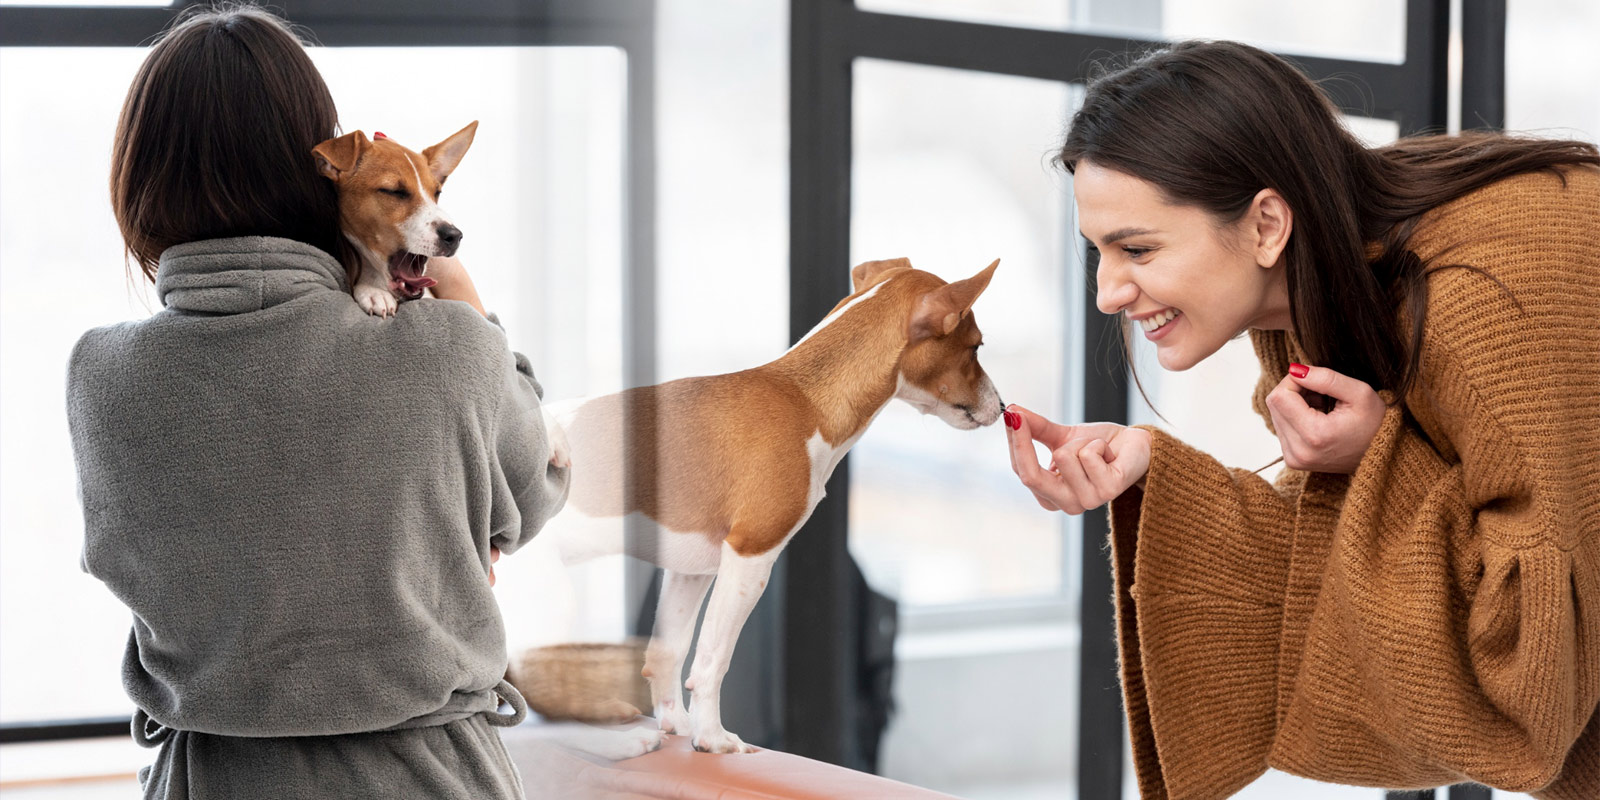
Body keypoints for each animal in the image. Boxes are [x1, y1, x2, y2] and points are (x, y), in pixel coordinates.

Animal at [544, 257, 1004, 755]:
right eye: (977, 347)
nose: (1002, 407)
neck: (803, 398)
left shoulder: (691, 570)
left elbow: (667, 653)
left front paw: (679, 726)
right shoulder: (750, 556)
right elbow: (712, 661)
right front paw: (711, 737)